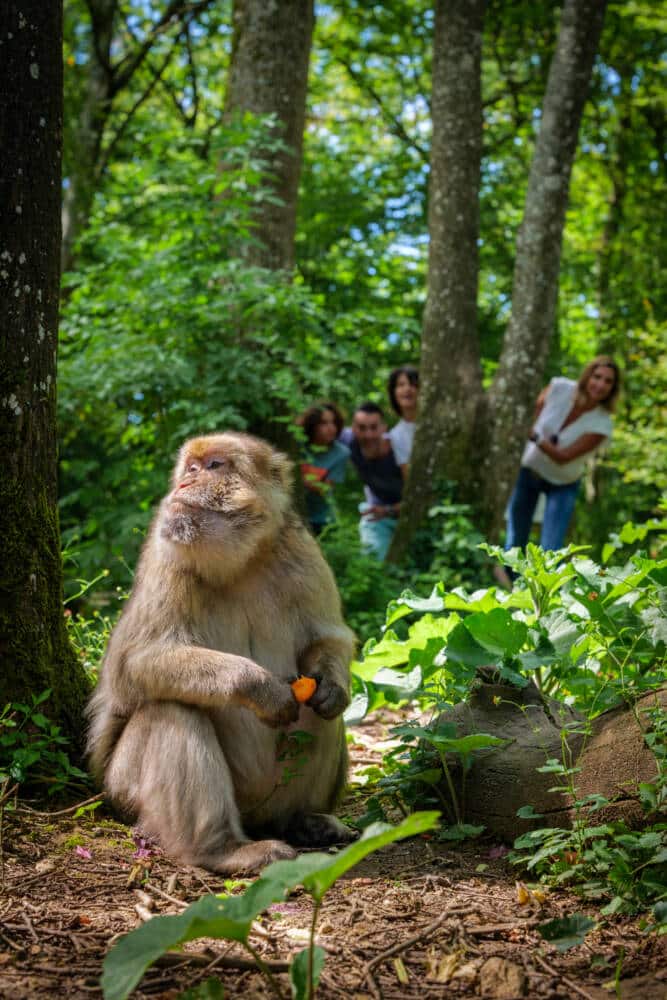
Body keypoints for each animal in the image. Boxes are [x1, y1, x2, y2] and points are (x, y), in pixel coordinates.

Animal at [87, 434, 358, 872]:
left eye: (214, 466)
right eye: (190, 468)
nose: (185, 483)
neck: (241, 561)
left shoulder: (303, 551)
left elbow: (327, 639)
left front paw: (333, 686)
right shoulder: (165, 553)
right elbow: (134, 663)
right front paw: (259, 687)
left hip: (271, 797)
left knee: (321, 716)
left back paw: (304, 819)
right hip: (123, 787)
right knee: (172, 709)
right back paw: (222, 849)